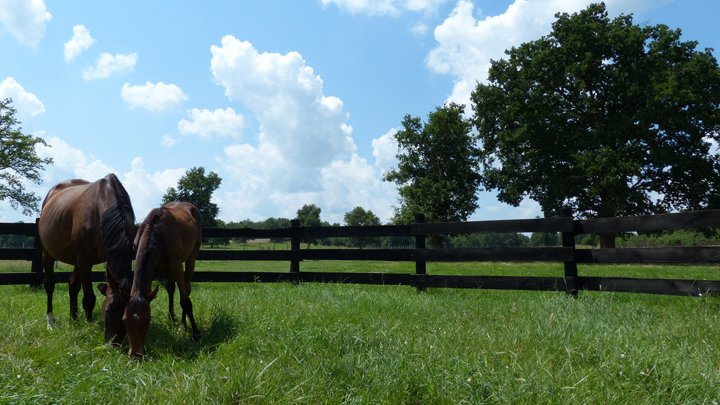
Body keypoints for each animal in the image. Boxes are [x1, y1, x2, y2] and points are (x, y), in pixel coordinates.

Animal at [38, 173, 136, 345]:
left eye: (127, 316)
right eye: (108, 311)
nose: (113, 343)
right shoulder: (85, 259)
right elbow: (89, 297)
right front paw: (89, 325)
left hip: (75, 259)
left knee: (72, 285)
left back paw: (74, 319)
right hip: (48, 253)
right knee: (49, 285)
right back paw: (51, 321)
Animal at [123, 201, 202, 357]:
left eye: (148, 319)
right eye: (124, 319)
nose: (135, 354)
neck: (155, 232)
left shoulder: (176, 265)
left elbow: (184, 301)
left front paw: (195, 333)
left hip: (191, 257)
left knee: (186, 289)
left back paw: (183, 325)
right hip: (167, 270)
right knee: (171, 289)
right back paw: (172, 318)